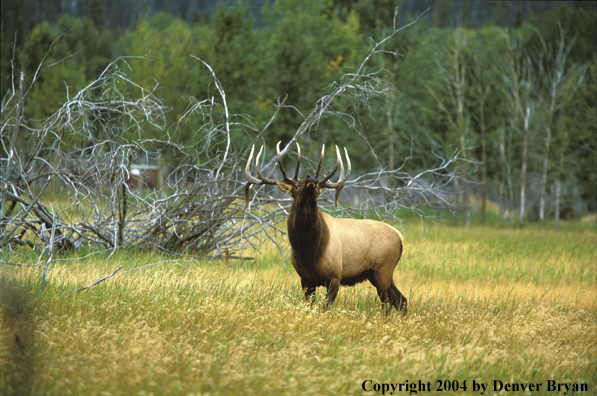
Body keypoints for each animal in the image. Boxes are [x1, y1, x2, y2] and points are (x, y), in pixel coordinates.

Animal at [244, 143, 408, 316]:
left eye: (317, 186)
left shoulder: (335, 275)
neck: (309, 253)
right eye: (296, 185)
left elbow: (325, 307)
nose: (311, 178)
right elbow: (310, 306)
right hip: (377, 274)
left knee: (388, 303)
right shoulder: (305, 279)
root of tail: (400, 237)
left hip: (383, 270)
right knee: (401, 300)